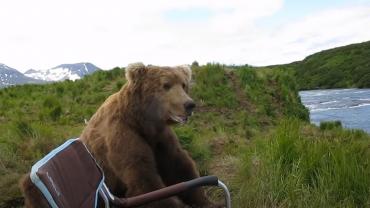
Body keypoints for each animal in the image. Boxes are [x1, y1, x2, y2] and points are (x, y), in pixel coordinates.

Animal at [21, 63, 220, 208]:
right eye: (166, 85)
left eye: (184, 84)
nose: (189, 104)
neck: (141, 121)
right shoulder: (122, 135)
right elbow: (144, 180)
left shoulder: (160, 138)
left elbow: (180, 168)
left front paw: (206, 201)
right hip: (35, 189)